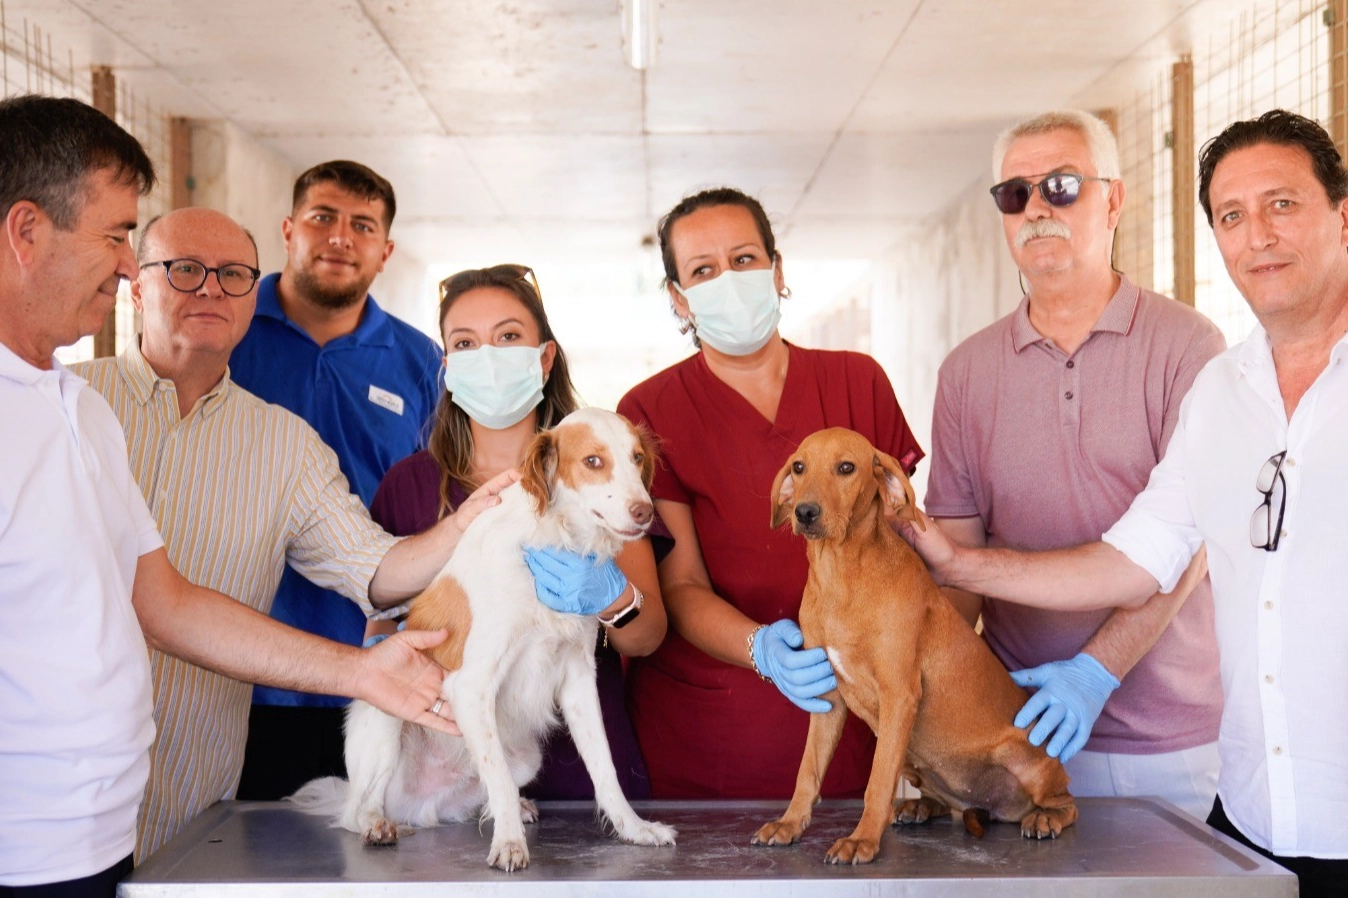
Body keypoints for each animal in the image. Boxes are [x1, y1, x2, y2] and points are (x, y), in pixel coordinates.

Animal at [292, 409, 674, 873]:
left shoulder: (579, 679)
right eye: (593, 461)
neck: (554, 539)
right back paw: (377, 823)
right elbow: (500, 779)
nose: (645, 512)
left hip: (527, 757)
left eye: (637, 458)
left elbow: (604, 768)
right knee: (357, 810)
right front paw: (508, 843)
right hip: (385, 711)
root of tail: (418, 806)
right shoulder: (471, 685)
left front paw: (634, 828)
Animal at [754, 428, 1078, 862]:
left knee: (1067, 802)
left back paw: (1045, 818)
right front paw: (789, 824)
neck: (842, 574)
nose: (804, 512)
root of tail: (994, 807)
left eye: (846, 467)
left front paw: (861, 840)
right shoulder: (827, 698)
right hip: (913, 757)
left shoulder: (899, 695)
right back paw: (921, 806)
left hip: (1028, 758)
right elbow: (808, 771)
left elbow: (877, 782)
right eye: (799, 467)